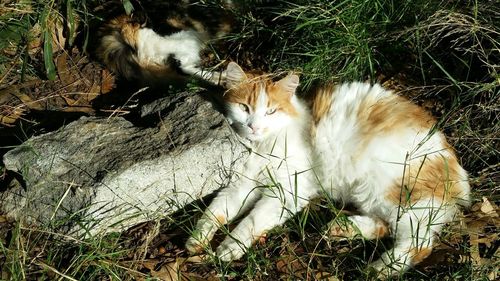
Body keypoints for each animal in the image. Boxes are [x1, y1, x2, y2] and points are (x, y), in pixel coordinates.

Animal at [186, 61, 470, 276]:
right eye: (245, 108)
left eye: (271, 112)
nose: (255, 126)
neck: (264, 145)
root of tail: (457, 170)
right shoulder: (240, 184)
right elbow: (215, 212)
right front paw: (197, 239)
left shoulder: (287, 192)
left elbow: (251, 221)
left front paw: (230, 247)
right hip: (371, 195)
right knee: (388, 226)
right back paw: (342, 228)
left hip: (391, 191)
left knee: (419, 242)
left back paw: (380, 269)